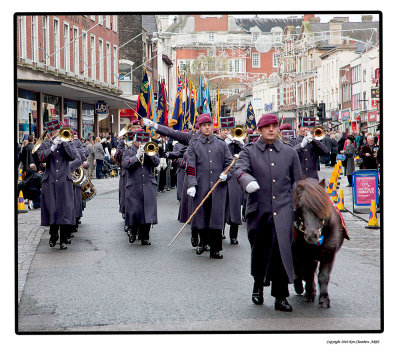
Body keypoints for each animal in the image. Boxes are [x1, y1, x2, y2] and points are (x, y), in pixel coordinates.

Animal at [290, 178, 350, 308]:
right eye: (300, 207)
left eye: (322, 206)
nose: (311, 236)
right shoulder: (304, 254)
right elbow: (308, 273)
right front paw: (308, 294)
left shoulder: (329, 254)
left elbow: (323, 276)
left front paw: (324, 299)